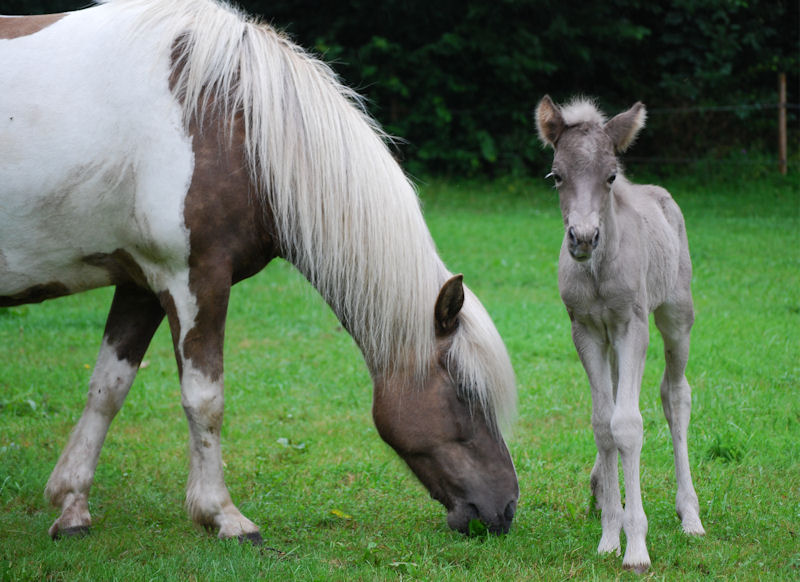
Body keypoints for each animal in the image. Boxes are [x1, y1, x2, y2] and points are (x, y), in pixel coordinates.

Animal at [0, 1, 520, 544]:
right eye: (465, 392)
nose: (505, 507)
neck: (232, 123)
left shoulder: (139, 284)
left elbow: (108, 388)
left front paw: (72, 506)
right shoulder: (195, 280)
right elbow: (204, 399)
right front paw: (223, 515)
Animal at [536, 97, 704, 576]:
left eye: (611, 176)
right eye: (556, 175)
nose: (583, 238)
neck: (598, 271)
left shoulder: (633, 327)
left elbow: (628, 425)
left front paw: (636, 549)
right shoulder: (587, 331)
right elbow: (602, 423)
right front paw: (610, 536)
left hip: (675, 316)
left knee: (675, 395)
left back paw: (690, 516)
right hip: (611, 342)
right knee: (614, 398)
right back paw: (600, 489)